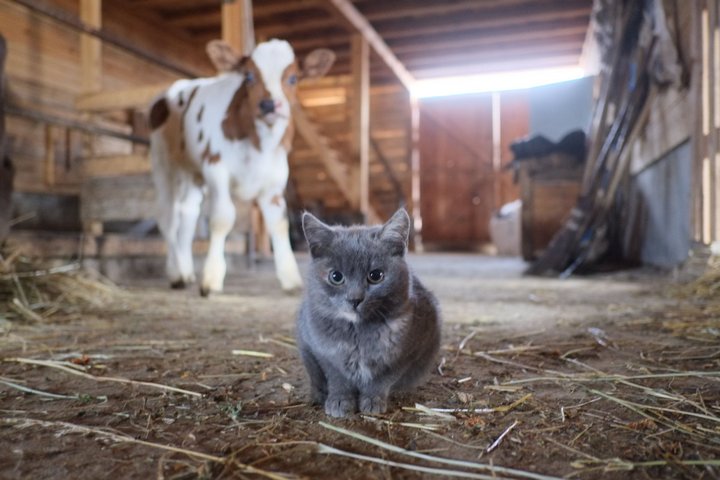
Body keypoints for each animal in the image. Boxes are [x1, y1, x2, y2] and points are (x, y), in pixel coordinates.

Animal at [150, 40, 336, 296]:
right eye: (248, 76)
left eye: (293, 78)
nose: (269, 104)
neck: (259, 145)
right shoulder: (216, 169)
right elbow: (222, 218)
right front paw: (212, 278)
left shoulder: (275, 180)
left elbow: (278, 223)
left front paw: (291, 279)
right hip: (164, 164)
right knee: (168, 217)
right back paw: (176, 274)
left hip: (192, 175)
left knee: (188, 214)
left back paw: (186, 272)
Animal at [296, 209, 442, 416]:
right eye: (336, 277)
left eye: (375, 275)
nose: (355, 299)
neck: (358, 332)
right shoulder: (322, 352)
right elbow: (338, 379)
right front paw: (339, 401)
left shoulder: (406, 353)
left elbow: (382, 379)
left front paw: (373, 401)